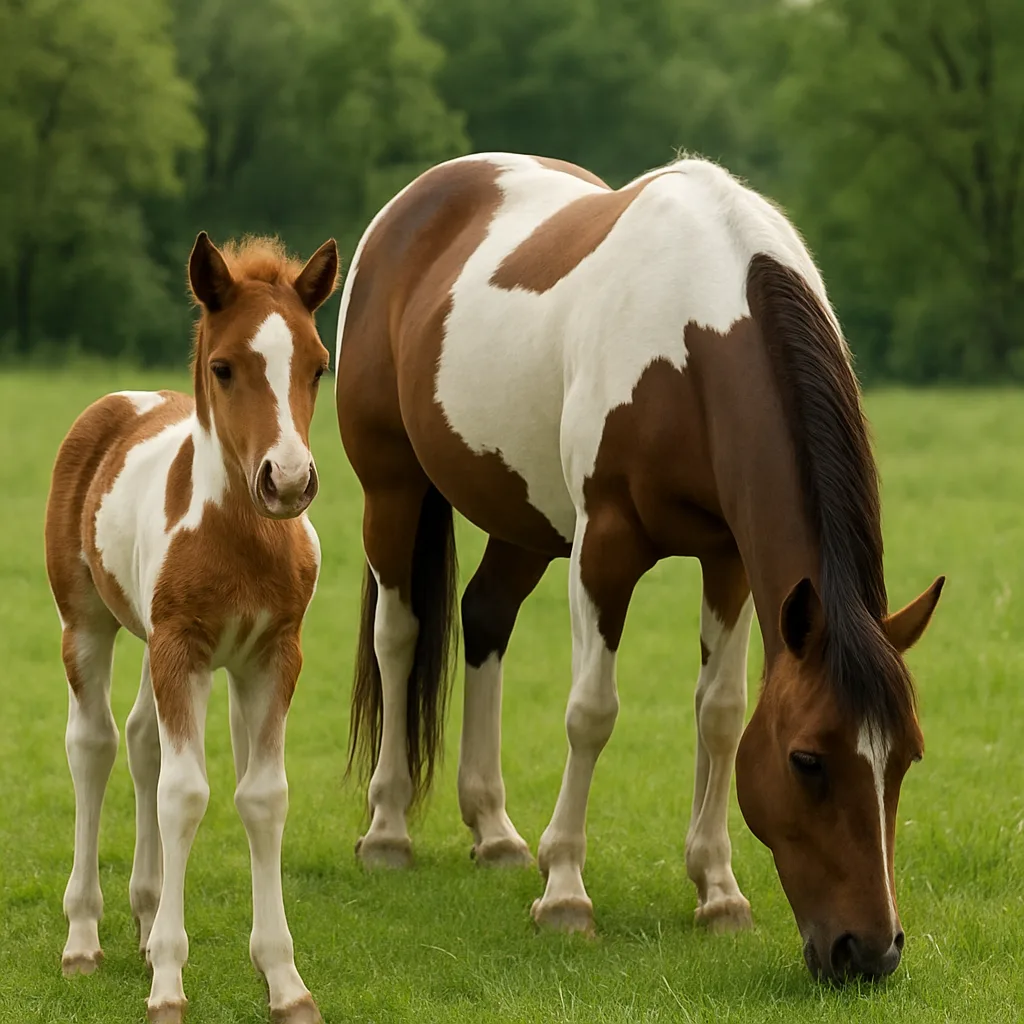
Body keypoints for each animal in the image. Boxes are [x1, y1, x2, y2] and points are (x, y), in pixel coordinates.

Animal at [45, 232, 338, 1023]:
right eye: (224, 367)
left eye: (318, 365)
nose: (288, 481)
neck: (241, 537)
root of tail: (127, 399)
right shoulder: (184, 649)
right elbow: (186, 795)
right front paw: (169, 987)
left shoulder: (272, 656)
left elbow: (262, 796)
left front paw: (286, 983)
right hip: (89, 624)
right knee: (93, 745)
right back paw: (84, 939)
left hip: (155, 645)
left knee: (143, 742)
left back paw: (147, 921)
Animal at [334, 151, 945, 983]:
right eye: (807, 760)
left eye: (907, 756)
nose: (870, 951)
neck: (696, 334)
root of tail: (413, 202)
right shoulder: (606, 546)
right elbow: (591, 713)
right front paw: (565, 892)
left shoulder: (728, 558)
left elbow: (720, 715)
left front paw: (718, 892)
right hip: (390, 486)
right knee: (397, 635)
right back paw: (388, 830)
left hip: (527, 519)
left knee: (483, 617)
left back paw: (494, 831)